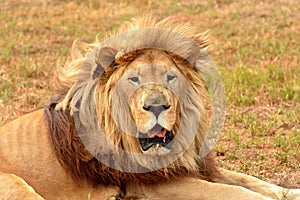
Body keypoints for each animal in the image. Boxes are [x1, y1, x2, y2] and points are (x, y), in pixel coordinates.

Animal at [0, 14, 298, 199]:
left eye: (170, 77)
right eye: (133, 79)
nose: (156, 106)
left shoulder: (191, 166)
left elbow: (252, 182)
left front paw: (291, 192)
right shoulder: (156, 185)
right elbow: (235, 192)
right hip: (17, 184)